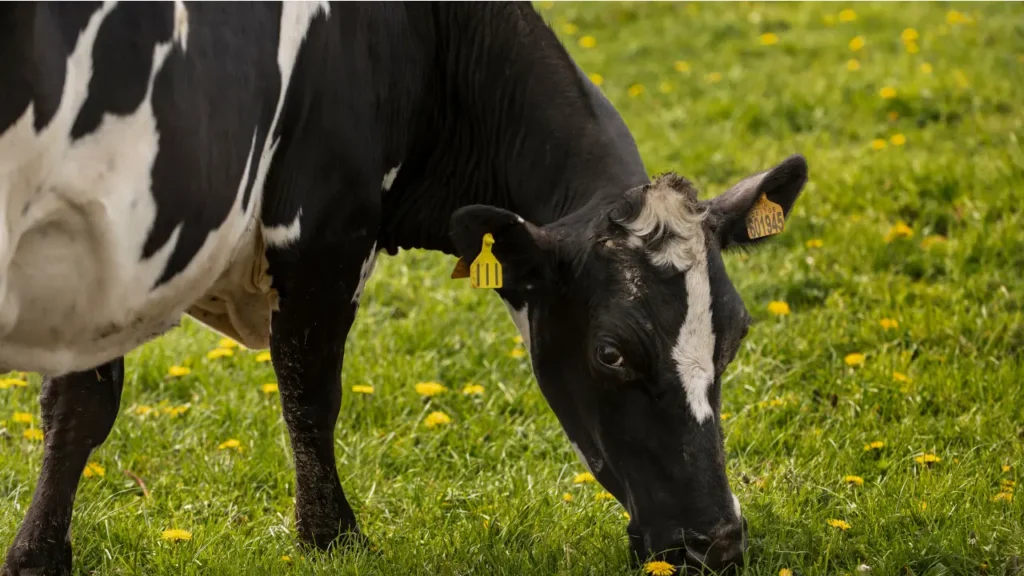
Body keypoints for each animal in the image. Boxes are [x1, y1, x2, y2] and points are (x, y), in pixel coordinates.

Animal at [0, 2, 809, 574]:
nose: (718, 542)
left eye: (735, 335)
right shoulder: (322, 225)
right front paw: (331, 540)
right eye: (612, 352)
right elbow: (308, 393)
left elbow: (78, 406)